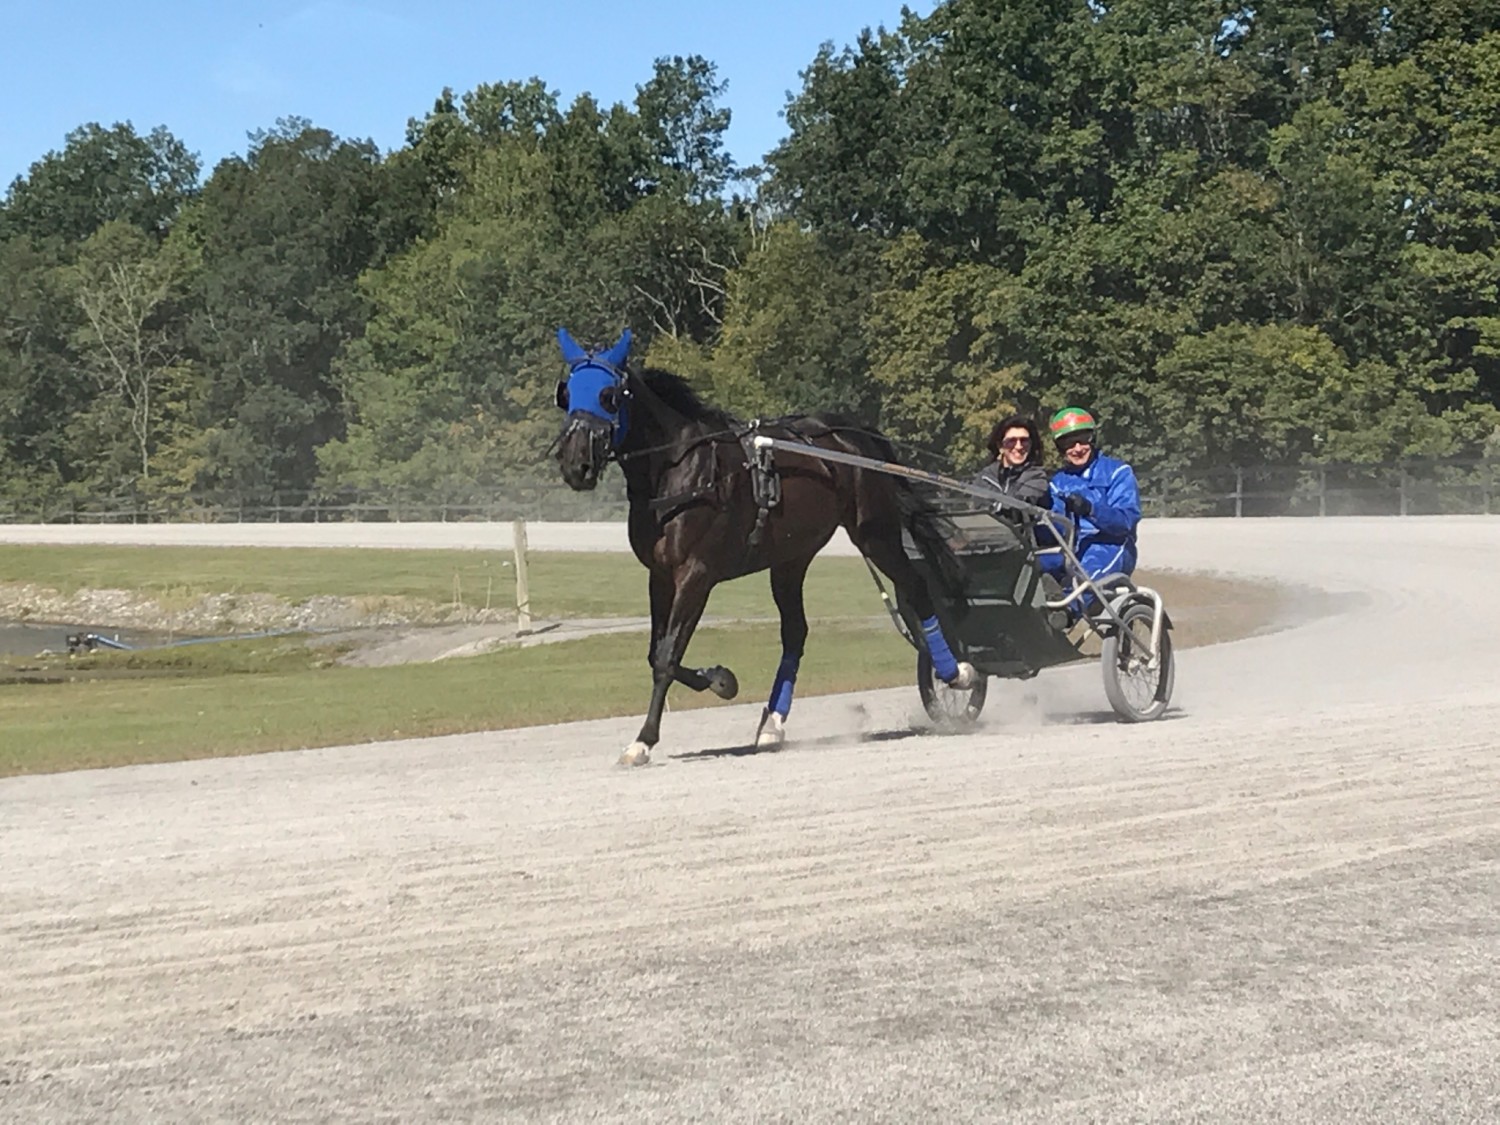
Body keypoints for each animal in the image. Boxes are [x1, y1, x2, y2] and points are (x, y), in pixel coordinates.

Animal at [552, 325, 972, 768]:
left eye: (608, 395)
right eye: (567, 393)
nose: (575, 462)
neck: (679, 470)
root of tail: (851, 433)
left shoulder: (696, 574)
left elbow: (667, 657)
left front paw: (645, 739)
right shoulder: (661, 575)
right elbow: (657, 653)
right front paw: (719, 678)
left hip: (875, 533)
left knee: (916, 587)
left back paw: (955, 672)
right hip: (791, 557)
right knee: (796, 632)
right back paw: (773, 723)